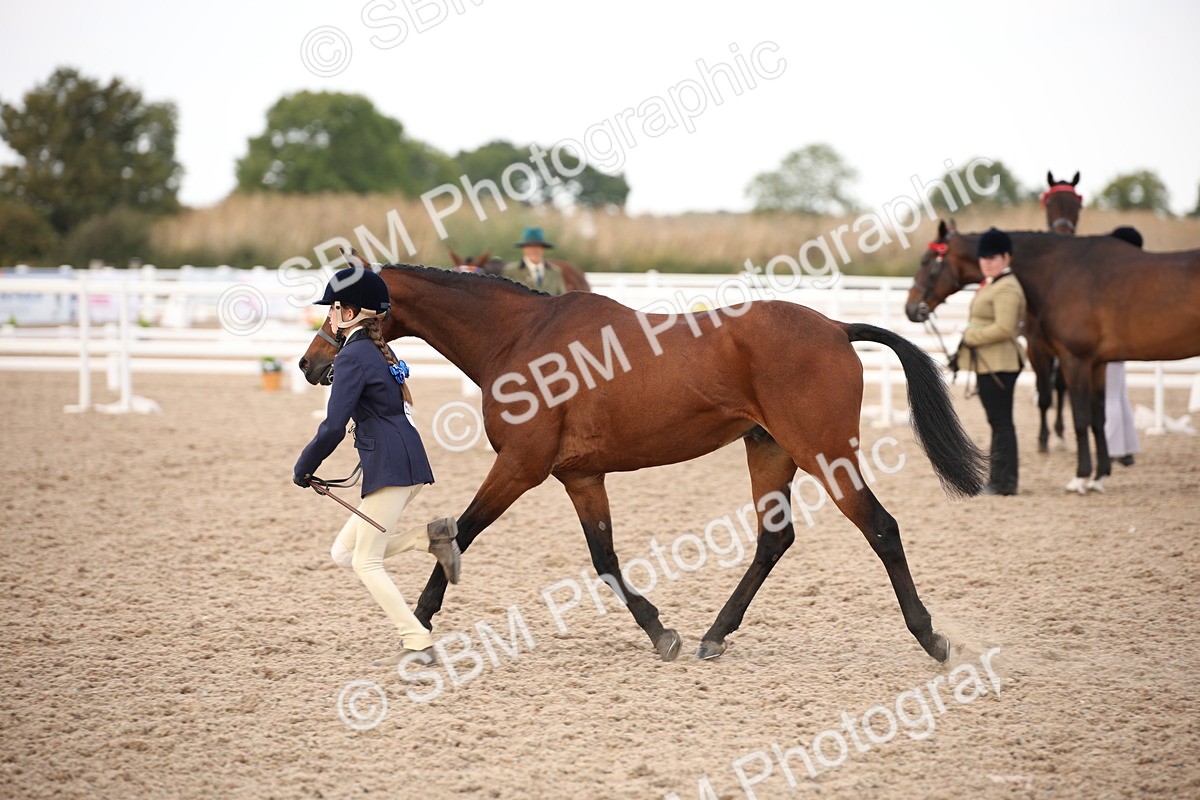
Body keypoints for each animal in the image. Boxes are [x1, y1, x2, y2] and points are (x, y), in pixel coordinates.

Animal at [300, 259, 987, 664]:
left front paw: (417, 622)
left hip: (823, 453)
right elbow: (604, 557)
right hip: (769, 452)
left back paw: (930, 637)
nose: (310, 363)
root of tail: (839, 329)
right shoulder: (580, 476)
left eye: (339, 309)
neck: (519, 338)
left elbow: (460, 534)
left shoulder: (521, 466)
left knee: (881, 528)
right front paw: (662, 632)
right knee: (774, 539)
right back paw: (714, 634)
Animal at [905, 220, 1200, 493]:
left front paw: (1080, 478)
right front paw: (1099, 476)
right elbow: (1098, 418)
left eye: (926, 260)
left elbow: (1080, 419)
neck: (1059, 272)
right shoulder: (1097, 364)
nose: (911, 308)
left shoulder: (1075, 360)